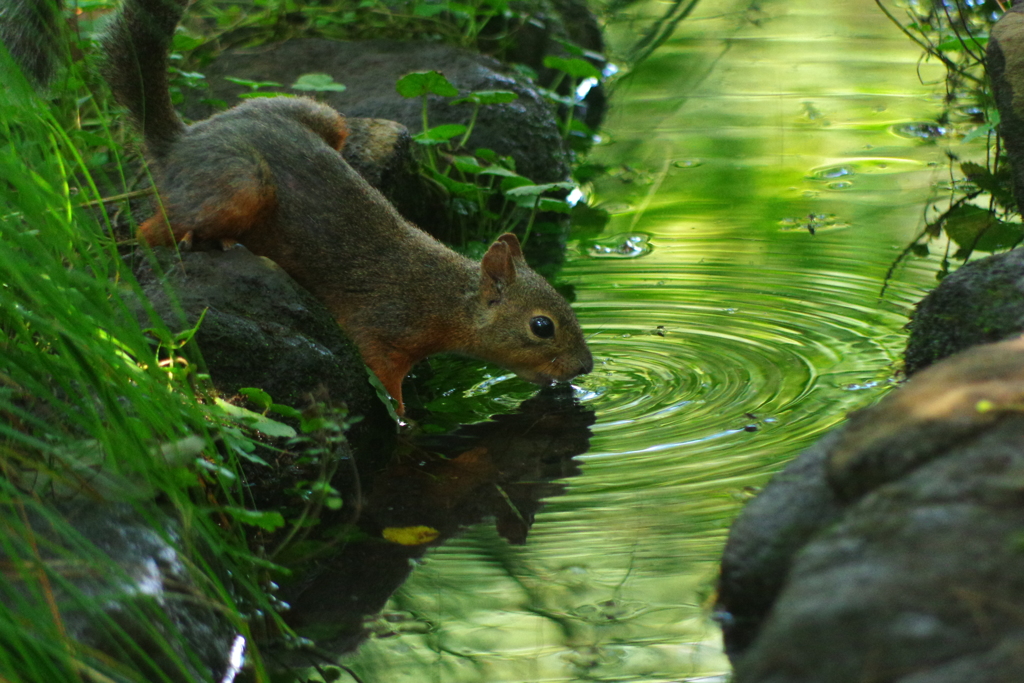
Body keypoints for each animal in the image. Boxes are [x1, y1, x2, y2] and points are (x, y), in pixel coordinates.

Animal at [99, 0, 598, 417]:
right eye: (542, 326)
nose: (586, 368)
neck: (444, 297)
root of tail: (183, 140)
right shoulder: (378, 332)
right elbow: (386, 386)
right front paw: (406, 422)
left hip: (326, 119)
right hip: (243, 185)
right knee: (150, 228)